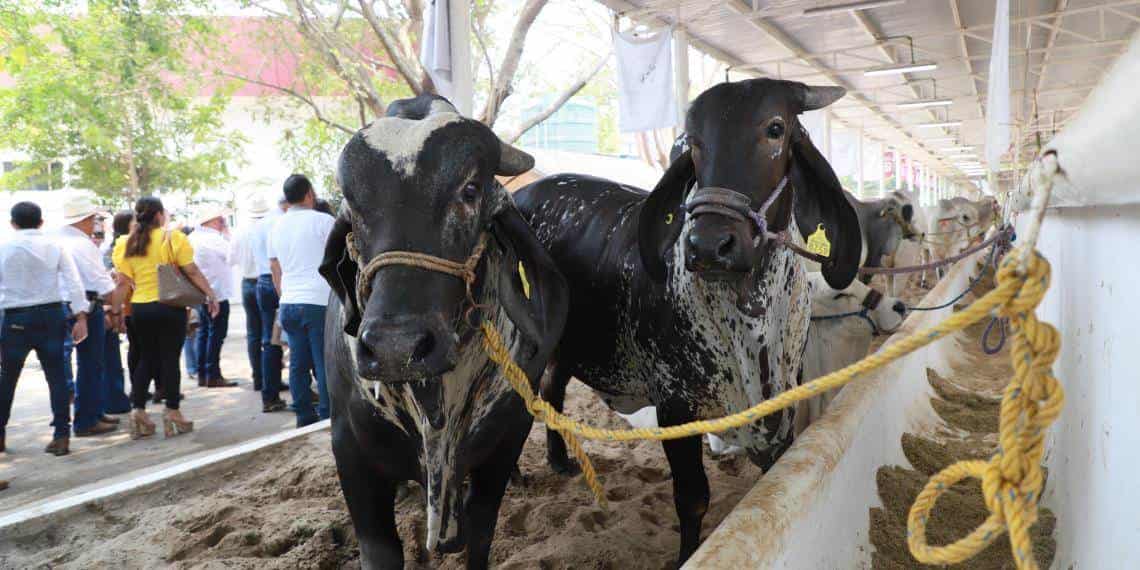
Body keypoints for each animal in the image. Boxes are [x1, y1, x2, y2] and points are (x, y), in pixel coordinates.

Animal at [319, 95, 567, 567]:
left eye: (470, 190)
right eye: (352, 206)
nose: (396, 348)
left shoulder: (510, 434)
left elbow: (481, 531)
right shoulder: (350, 452)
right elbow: (380, 550)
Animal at [513, 79, 857, 565]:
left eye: (775, 128)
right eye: (693, 140)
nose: (709, 245)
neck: (752, 325)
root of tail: (521, 194)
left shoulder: (783, 403)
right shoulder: (675, 407)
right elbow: (692, 498)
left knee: (552, 389)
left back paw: (560, 460)